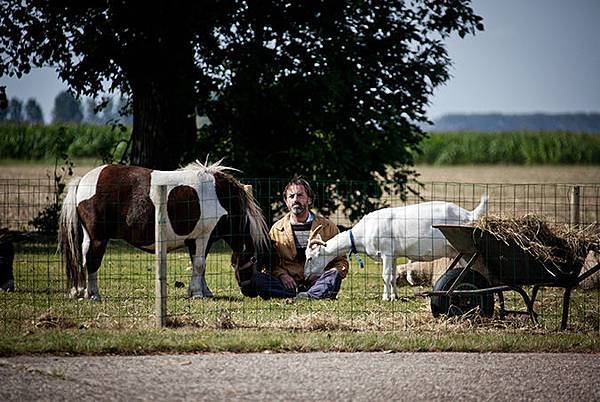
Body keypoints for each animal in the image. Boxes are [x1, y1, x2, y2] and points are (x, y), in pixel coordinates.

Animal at [58, 159, 270, 300]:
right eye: (254, 260)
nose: (251, 293)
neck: (221, 197)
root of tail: (83, 180)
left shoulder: (197, 240)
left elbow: (199, 265)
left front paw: (203, 291)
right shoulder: (203, 237)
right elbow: (199, 265)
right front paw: (198, 294)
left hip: (89, 237)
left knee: (84, 259)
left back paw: (85, 292)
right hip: (99, 238)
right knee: (92, 261)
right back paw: (94, 295)